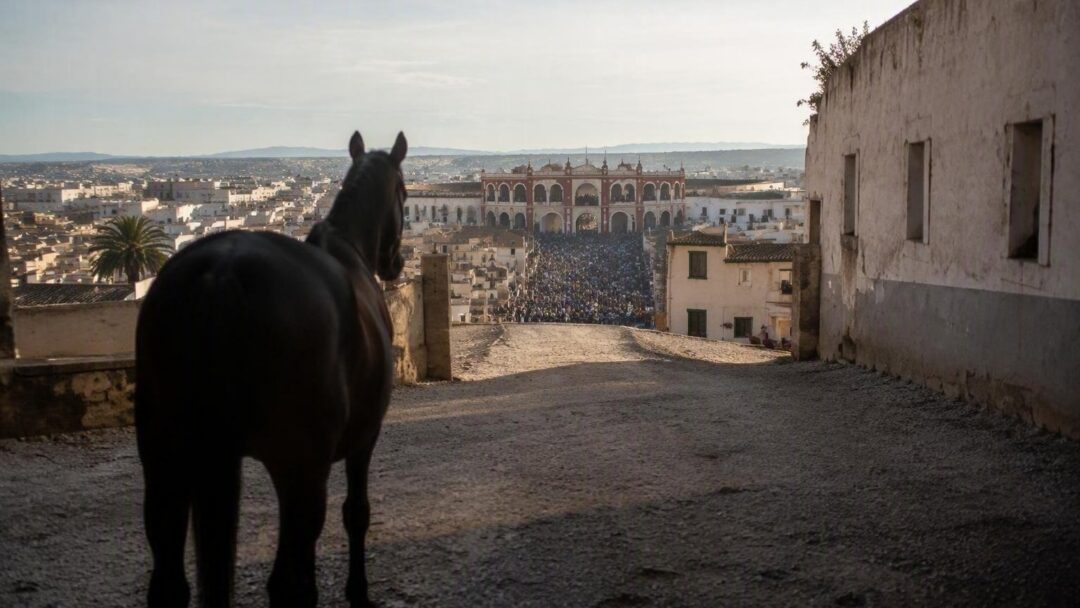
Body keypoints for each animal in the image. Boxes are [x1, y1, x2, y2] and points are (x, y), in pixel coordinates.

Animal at [135, 130, 407, 608]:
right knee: (284, 582)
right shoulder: (364, 436)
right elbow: (356, 514)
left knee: (169, 582)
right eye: (406, 193)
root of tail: (219, 276)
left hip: (164, 451)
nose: (397, 263)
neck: (349, 245)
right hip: (297, 461)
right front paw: (358, 592)